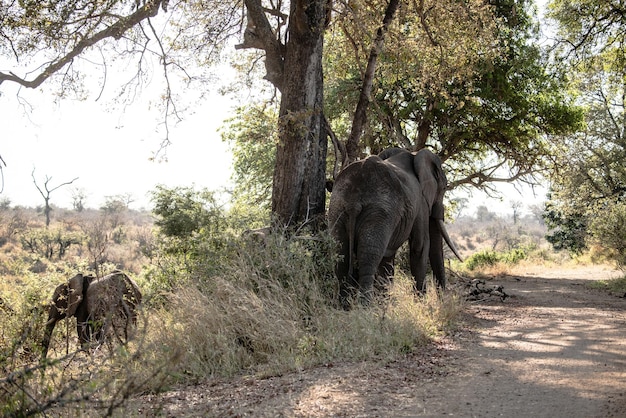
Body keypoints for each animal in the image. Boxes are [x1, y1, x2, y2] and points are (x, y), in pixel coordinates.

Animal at [330, 147, 460, 306]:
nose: (442, 301)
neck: (415, 155)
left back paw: (344, 307)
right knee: (368, 257)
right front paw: (420, 303)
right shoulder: (421, 203)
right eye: (445, 187)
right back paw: (365, 307)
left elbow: (388, 256)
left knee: (341, 255)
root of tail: (353, 202)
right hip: (379, 211)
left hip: (337, 208)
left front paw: (385, 303)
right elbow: (420, 246)